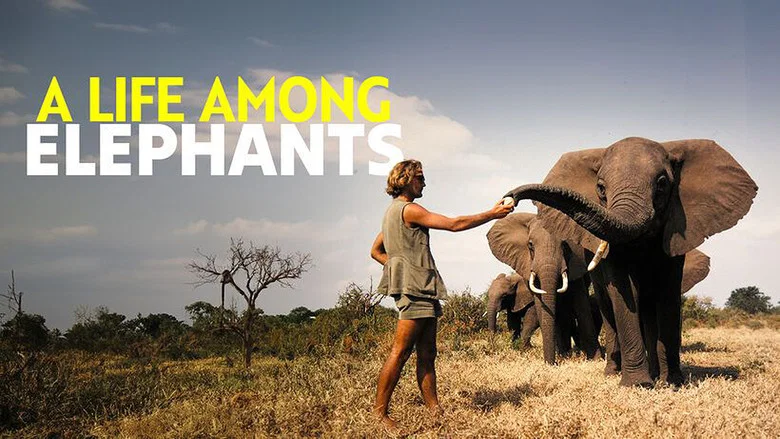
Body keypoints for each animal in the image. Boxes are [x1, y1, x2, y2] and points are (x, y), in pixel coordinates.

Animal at [486, 213, 602, 364]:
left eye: (564, 245)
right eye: (530, 245)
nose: (552, 363)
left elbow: (581, 305)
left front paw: (596, 359)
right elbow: (535, 310)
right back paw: (564, 354)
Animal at [504, 137, 756, 386]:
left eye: (662, 184)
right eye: (600, 188)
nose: (510, 198)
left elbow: (668, 291)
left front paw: (672, 383)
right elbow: (624, 291)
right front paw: (638, 384)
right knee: (608, 307)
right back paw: (613, 371)